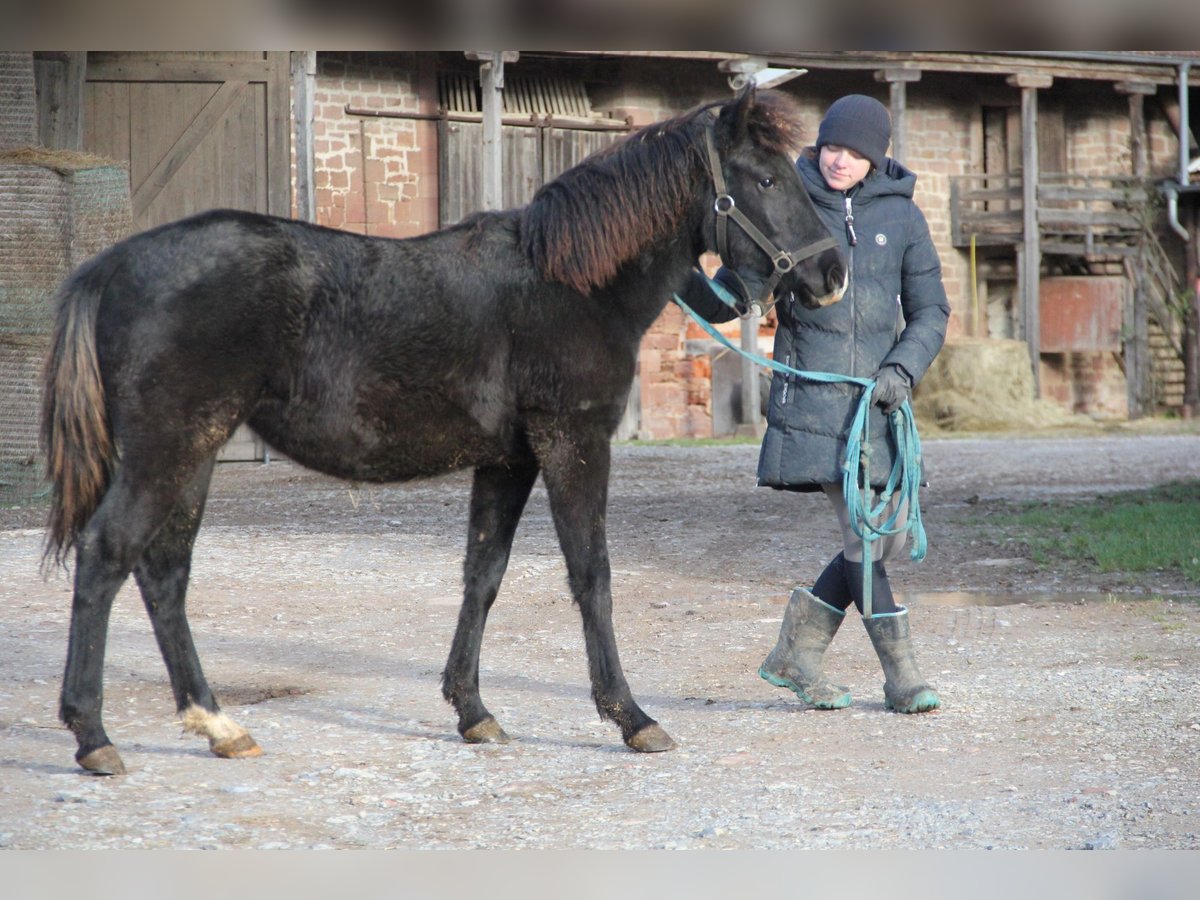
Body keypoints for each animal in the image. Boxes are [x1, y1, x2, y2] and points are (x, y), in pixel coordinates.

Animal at [39, 86, 844, 777]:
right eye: (766, 179)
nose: (832, 275)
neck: (566, 282)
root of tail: (114, 263)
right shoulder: (573, 442)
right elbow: (592, 575)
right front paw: (631, 717)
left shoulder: (508, 461)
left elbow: (482, 574)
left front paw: (473, 711)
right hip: (169, 448)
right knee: (107, 554)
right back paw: (93, 735)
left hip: (197, 450)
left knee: (164, 572)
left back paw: (218, 725)